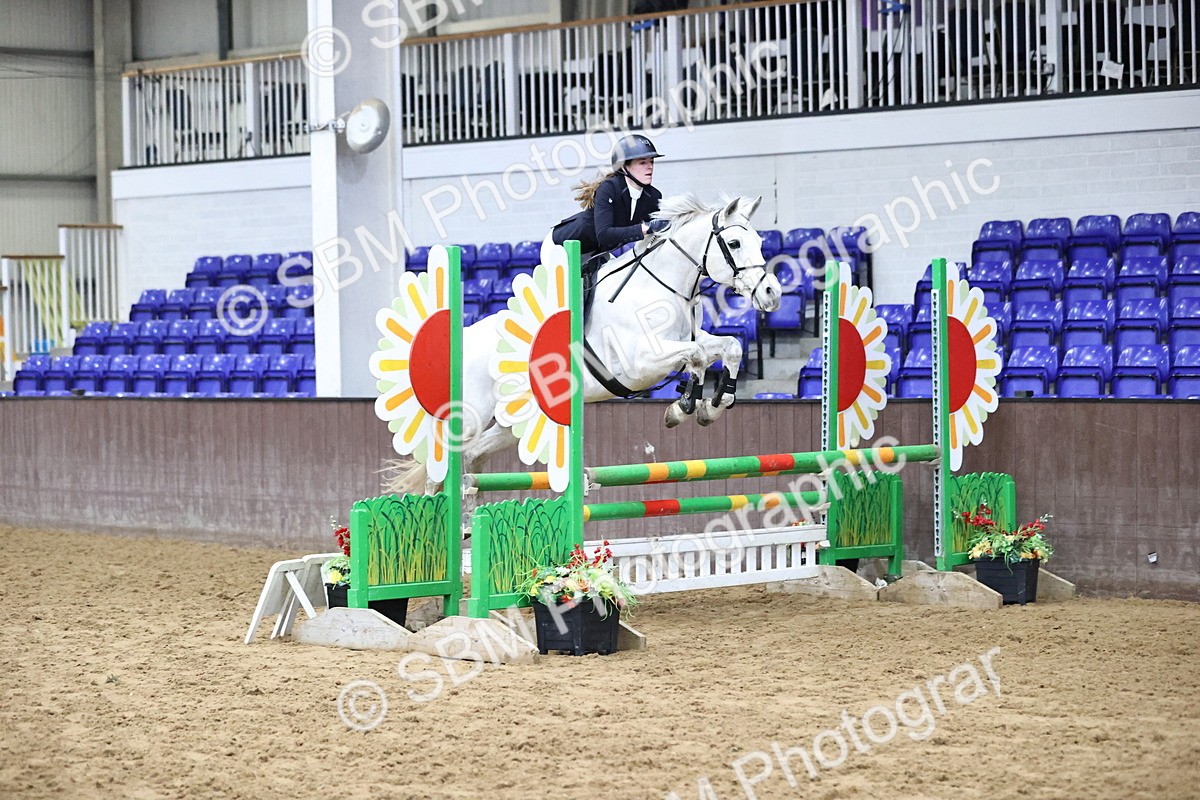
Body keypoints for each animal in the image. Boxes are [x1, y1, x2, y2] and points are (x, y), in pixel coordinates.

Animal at [390, 194, 782, 494]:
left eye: (761, 243)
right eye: (734, 244)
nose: (772, 294)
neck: (660, 286)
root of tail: (464, 340)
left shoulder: (689, 341)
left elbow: (729, 347)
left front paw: (712, 406)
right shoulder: (640, 364)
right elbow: (697, 357)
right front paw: (682, 407)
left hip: (513, 420)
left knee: (472, 458)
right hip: (471, 414)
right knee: (440, 466)